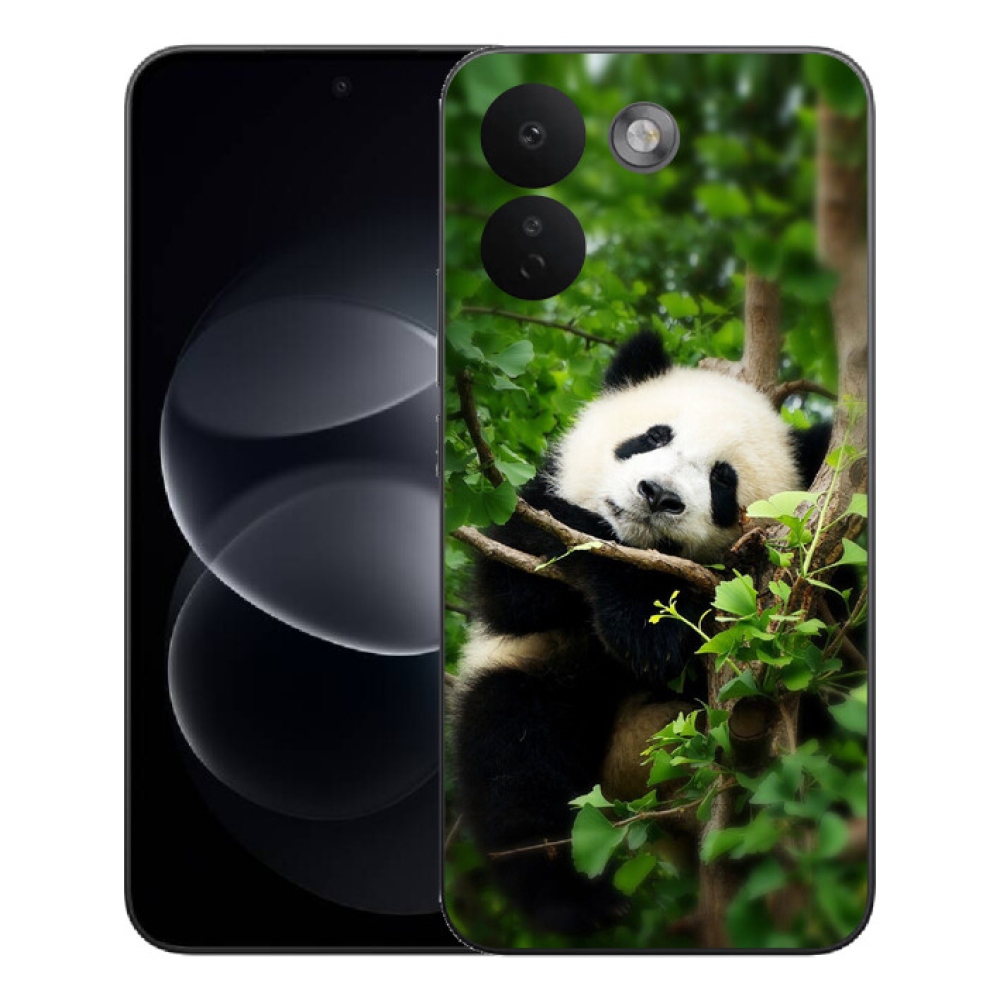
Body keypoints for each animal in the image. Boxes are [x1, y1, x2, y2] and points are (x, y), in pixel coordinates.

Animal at [451, 331, 831, 935]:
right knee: (516, 762)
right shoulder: (524, 516)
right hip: (540, 684)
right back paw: (578, 899)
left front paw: (660, 626)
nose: (656, 494)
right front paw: (643, 620)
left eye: (723, 479)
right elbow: (518, 584)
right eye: (653, 436)